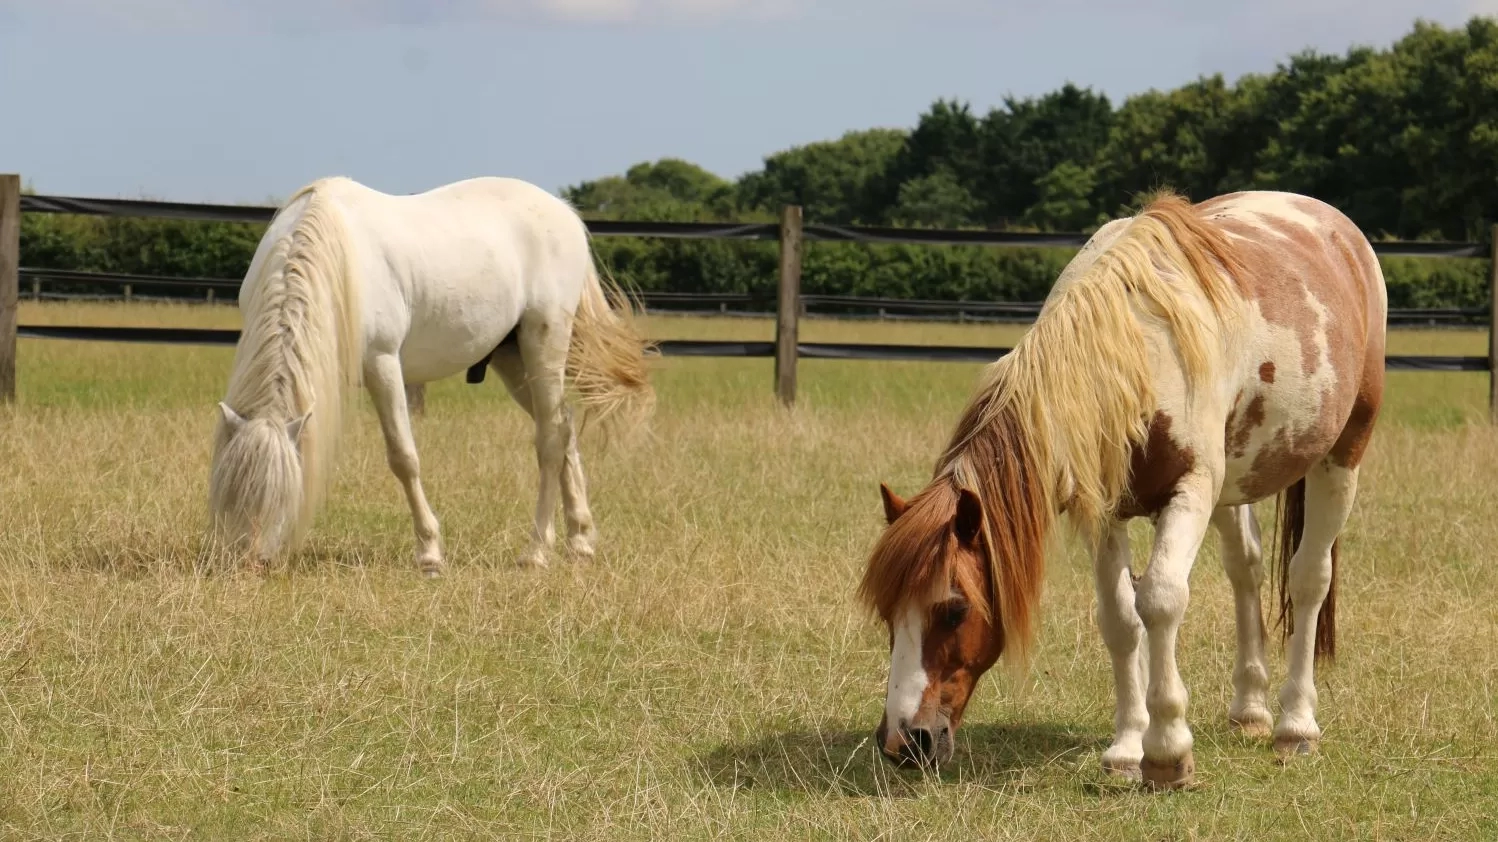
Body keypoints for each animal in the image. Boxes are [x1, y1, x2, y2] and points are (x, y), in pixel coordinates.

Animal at [209, 173, 656, 572]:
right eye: (229, 489)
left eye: (279, 495)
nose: (248, 561)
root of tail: (564, 212)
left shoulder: (383, 364)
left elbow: (403, 457)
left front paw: (429, 551)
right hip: (513, 361)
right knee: (564, 427)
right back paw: (580, 541)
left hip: (544, 342)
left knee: (549, 440)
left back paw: (536, 551)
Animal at [862, 188, 1384, 785]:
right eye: (887, 613)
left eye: (954, 610)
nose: (903, 740)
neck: (1132, 354)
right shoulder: (1106, 510)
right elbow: (1119, 618)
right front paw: (1126, 750)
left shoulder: (1190, 493)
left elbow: (1159, 600)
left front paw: (1167, 752)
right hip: (1235, 481)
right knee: (1245, 569)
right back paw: (1250, 710)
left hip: (1342, 455)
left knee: (1308, 578)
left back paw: (1295, 727)